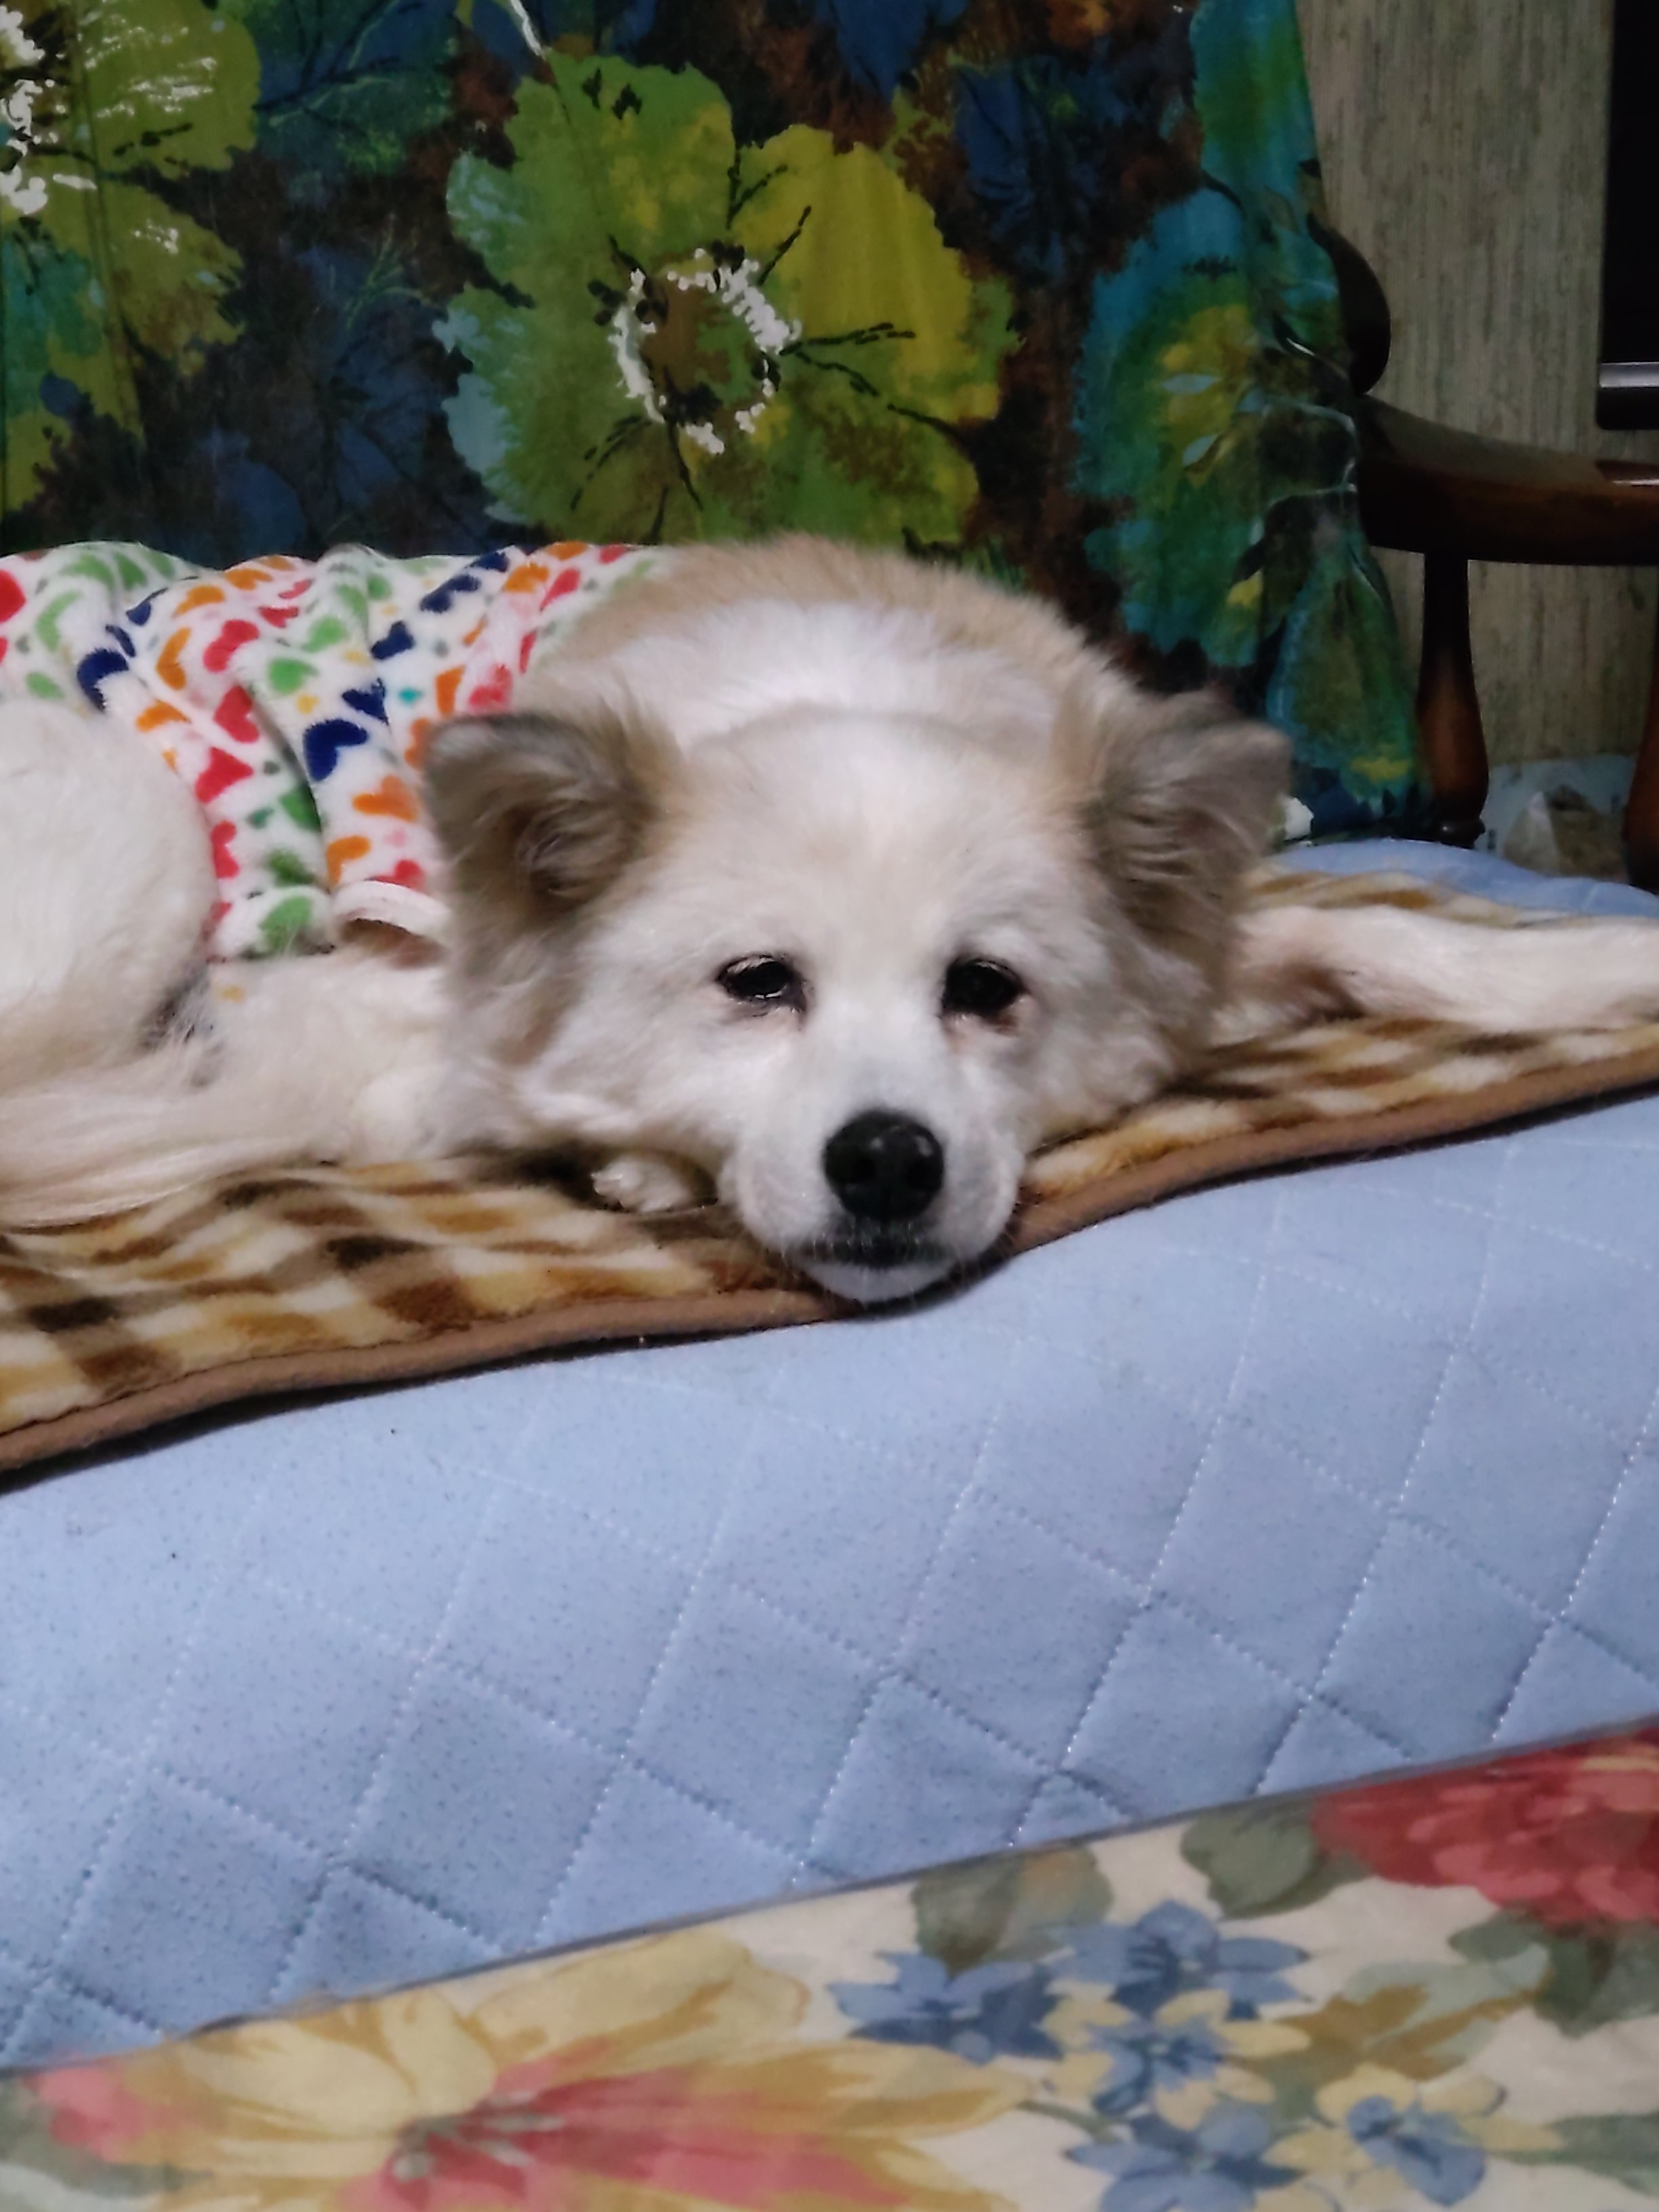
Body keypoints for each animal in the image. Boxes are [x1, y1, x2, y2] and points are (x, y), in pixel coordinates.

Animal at [3, 535, 1658, 1304]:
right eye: (756, 983)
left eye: (985, 986)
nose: (885, 1162)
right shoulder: (334, 1020)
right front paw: (631, 1157)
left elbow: (1382, 931)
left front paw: (1600, 962)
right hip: (146, 831)